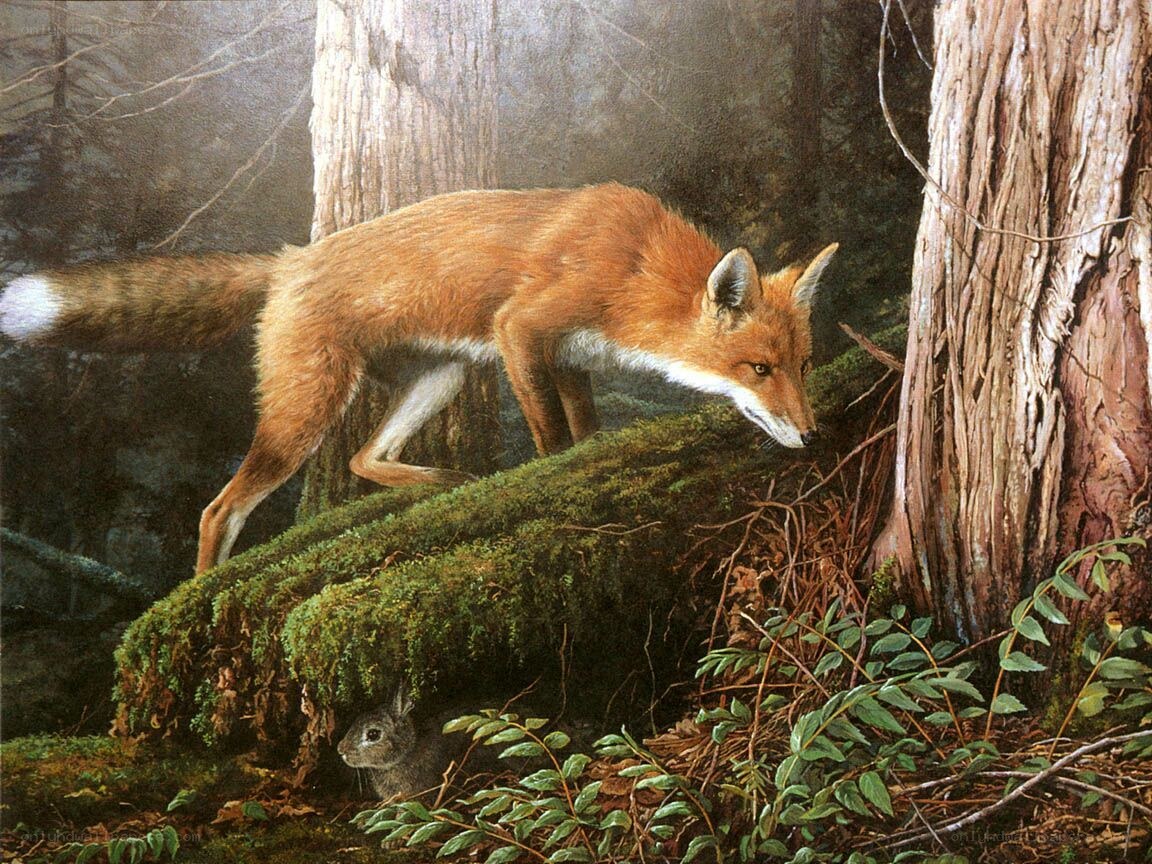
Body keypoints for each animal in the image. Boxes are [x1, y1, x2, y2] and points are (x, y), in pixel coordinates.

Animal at [0, 183, 837, 574]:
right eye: (757, 370)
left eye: (802, 366)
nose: (811, 434)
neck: (633, 268)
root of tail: (290, 259)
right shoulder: (521, 330)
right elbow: (551, 440)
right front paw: (548, 484)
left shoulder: (565, 358)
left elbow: (582, 435)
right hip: (309, 409)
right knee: (217, 510)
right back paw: (195, 590)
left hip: (442, 376)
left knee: (365, 457)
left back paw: (443, 482)